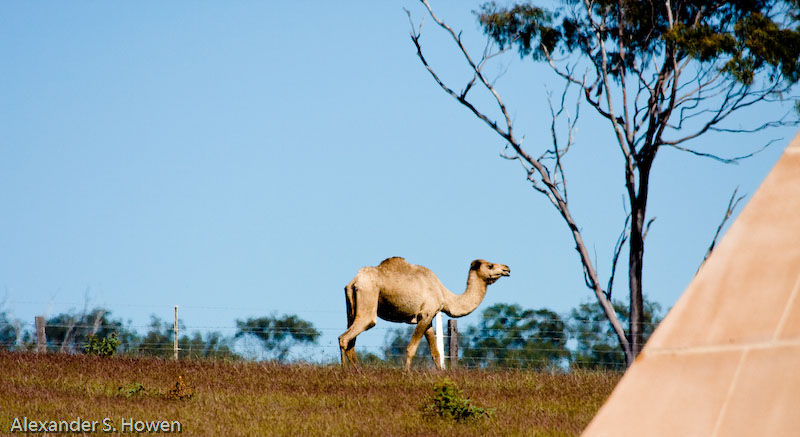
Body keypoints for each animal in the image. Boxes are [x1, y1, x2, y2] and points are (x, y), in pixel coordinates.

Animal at [340, 258, 512, 370]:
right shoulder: (425, 314)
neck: (444, 296)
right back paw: (344, 371)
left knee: (350, 341)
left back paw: (358, 372)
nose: (507, 268)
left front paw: (442, 375)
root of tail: (354, 281)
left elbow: (436, 353)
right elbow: (411, 348)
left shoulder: (428, 319)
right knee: (346, 337)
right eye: (490, 265)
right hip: (368, 298)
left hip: (351, 308)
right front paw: (406, 374)